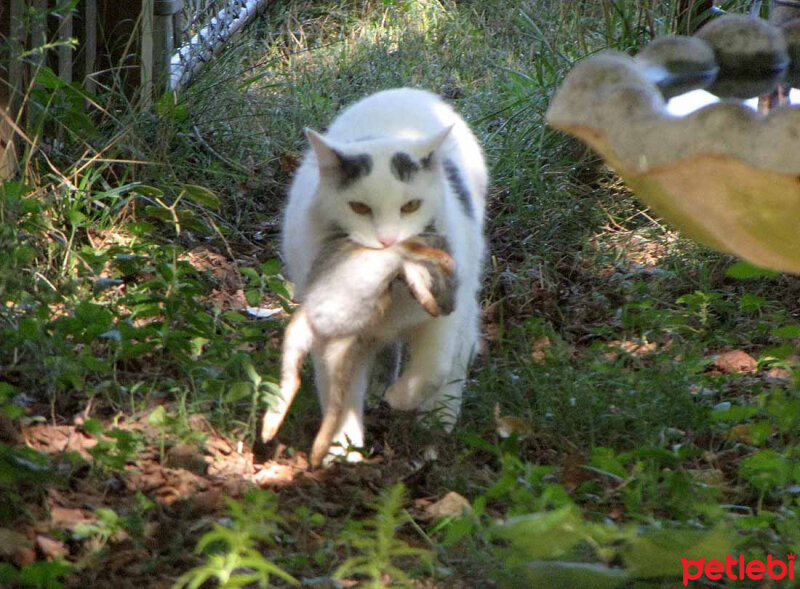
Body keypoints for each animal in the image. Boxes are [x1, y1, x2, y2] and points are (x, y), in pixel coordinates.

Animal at [282, 87, 488, 462]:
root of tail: (408, 91)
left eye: (411, 206)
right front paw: (342, 452)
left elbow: (434, 367)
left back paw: (437, 420)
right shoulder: (331, 330)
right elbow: (339, 392)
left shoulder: (445, 312)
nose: (388, 241)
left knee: (460, 352)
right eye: (359, 208)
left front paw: (403, 399)